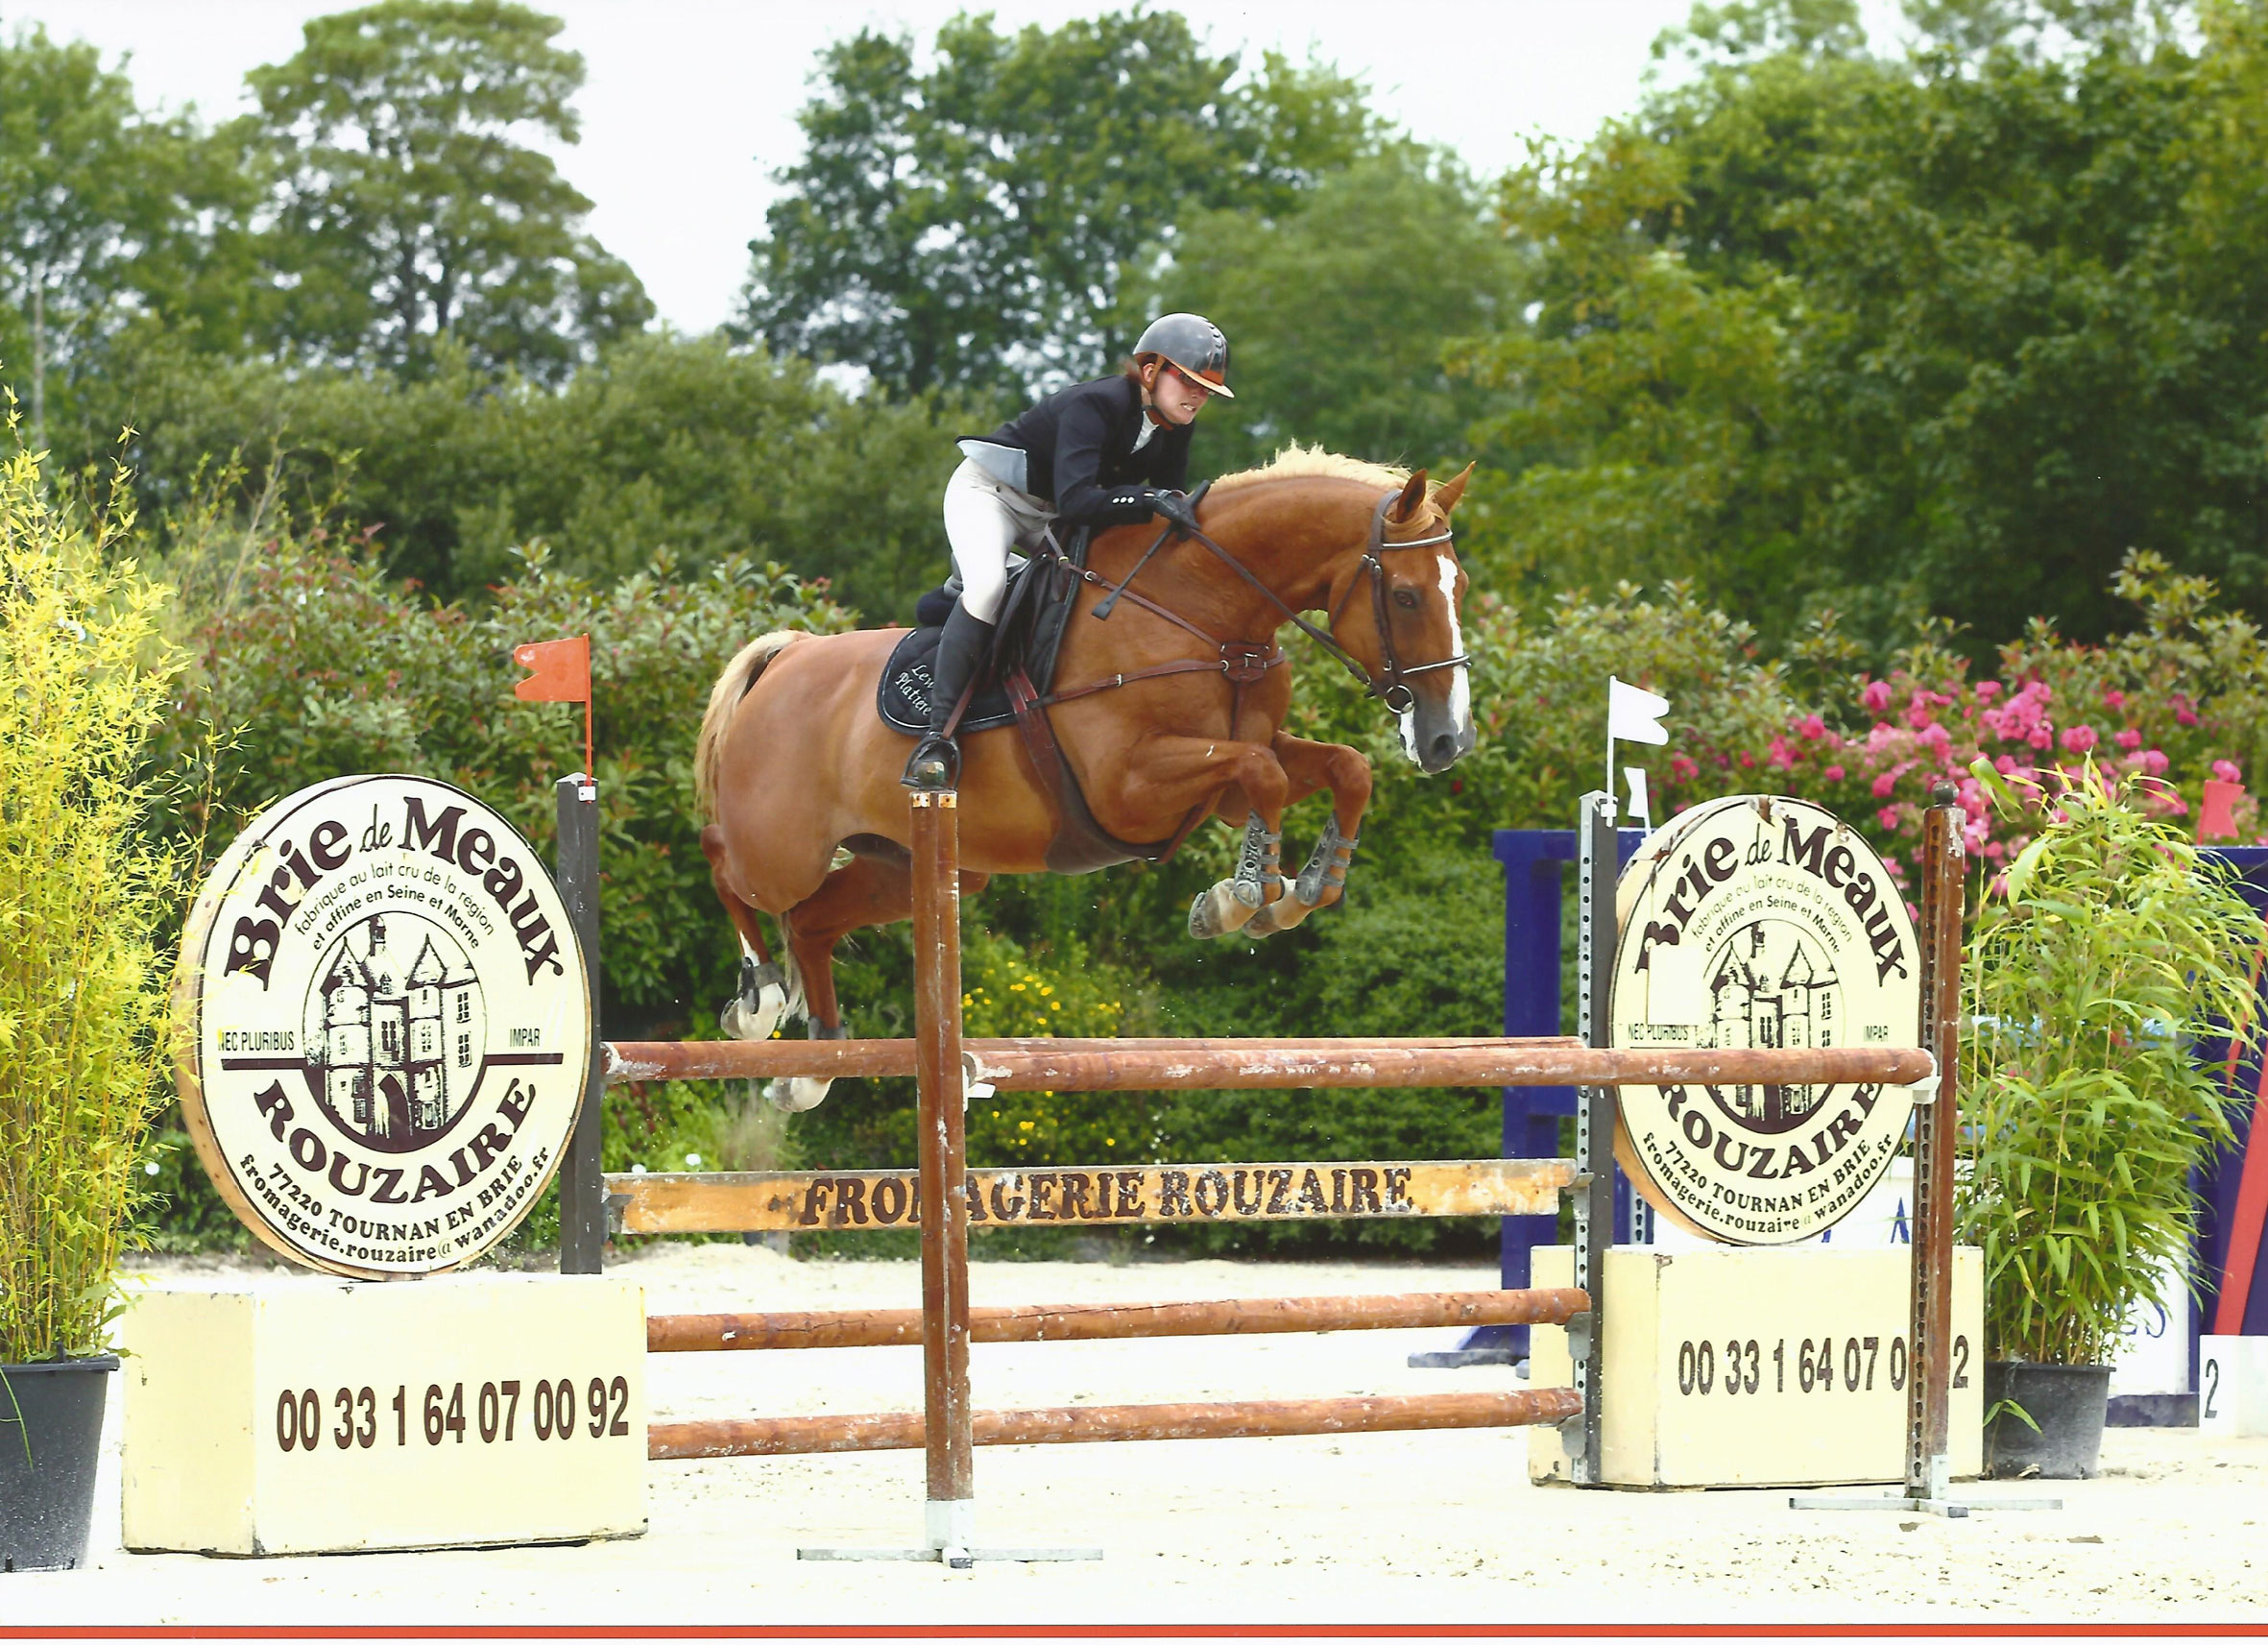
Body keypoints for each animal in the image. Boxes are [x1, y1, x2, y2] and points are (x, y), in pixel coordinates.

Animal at [680, 447, 1479, 1102]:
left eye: (1461, 586)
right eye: (1406, 595)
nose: (1447, 739)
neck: (1204, 611)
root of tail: (787, 655)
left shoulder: (1218, 785)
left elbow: (1342, 768)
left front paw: (1305, 888)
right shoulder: (1128, 786)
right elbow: (1266, 775)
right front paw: (1244, 894)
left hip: (905, 864)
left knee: (811, 922)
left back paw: (813, 1065)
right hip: (783, 848)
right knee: (724, 860)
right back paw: (756, 1001)